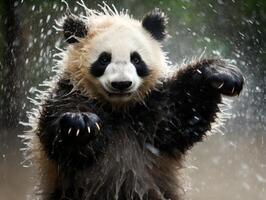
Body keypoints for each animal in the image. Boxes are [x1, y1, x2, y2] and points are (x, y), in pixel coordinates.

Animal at [22, 1, 243, 200]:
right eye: (104, 59)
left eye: (136, 59)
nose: (121, 84)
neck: (120, 109)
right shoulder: (69, 92)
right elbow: (60, 141)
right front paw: (80, 123)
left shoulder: (151, 108)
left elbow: (182, 115)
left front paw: (220, 73)